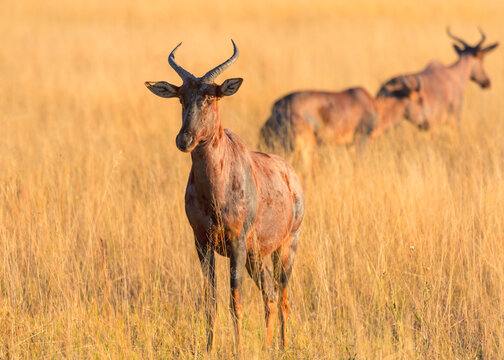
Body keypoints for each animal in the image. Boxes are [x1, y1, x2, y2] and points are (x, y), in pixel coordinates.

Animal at [144, 40, 306, 352]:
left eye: (210, 96)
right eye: (181, 98)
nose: (184, 139)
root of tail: (291, 176)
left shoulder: (236, 242)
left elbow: (236, 303)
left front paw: (238, 350)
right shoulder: (202, 244)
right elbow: (211, 303)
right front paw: (208, 349)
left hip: (286, 247)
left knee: (283, 298)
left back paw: (282, 348)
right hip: (255, 256)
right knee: (269, 295)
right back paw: (269, 347)